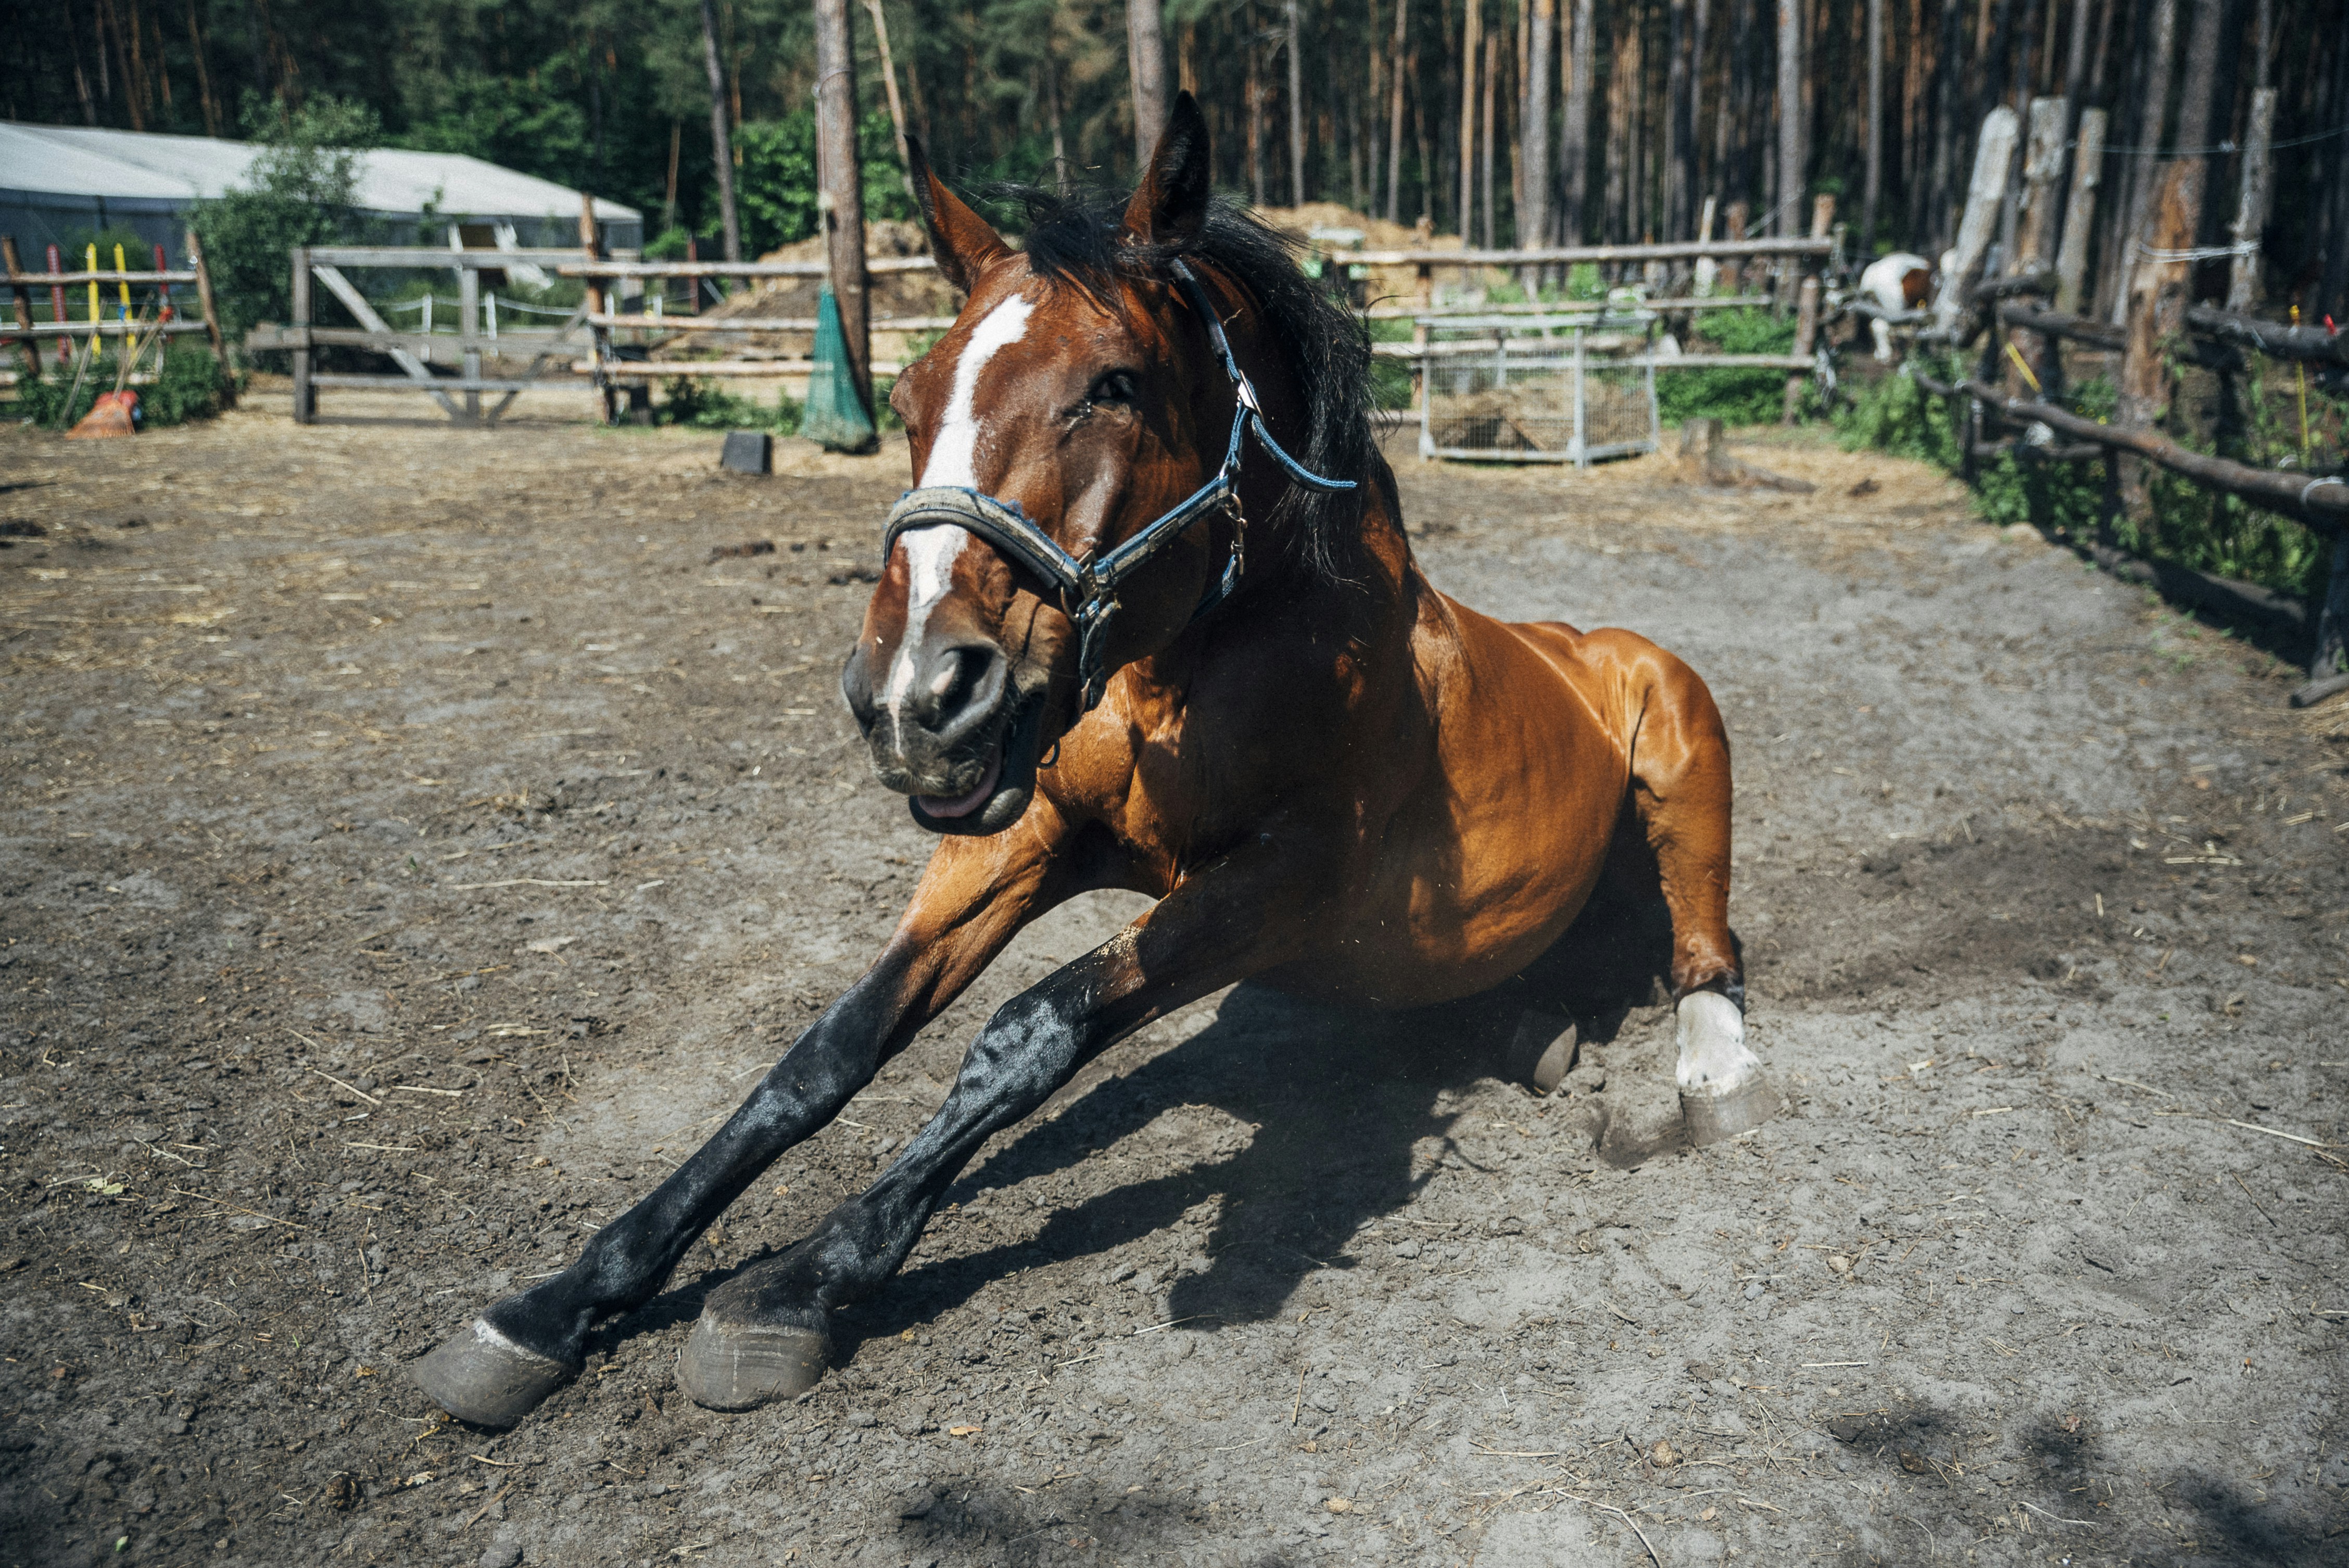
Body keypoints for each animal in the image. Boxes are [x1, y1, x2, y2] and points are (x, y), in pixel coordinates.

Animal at [410, 93, 1777, 1428]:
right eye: (907, 399)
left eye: (1112, 386)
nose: (914, 697)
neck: (1205, 662)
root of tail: (1586, 644)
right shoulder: (1018, 843)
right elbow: (826, 1055)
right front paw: (555, 1303)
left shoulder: (1276, 884)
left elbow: (1029, 1030)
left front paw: (797, 1285)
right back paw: (1530, 1030)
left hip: (1685, 742)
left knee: (1705, 940)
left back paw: (1711, 1072)